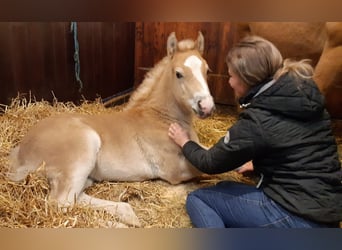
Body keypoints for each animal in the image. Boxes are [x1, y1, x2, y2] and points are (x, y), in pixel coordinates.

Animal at [7, 31, 214, 227]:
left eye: (206, 70)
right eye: (179, 73)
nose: (206, 106)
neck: (160, 118)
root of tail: (20, 151)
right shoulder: (174, 171)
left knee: (76, 199)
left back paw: (128, 215)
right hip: (83, 151)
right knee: (60, 204)